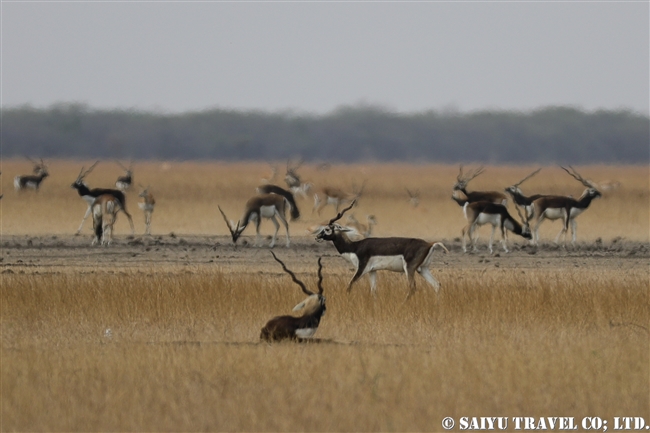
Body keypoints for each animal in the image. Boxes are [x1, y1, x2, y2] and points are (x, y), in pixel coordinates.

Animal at [312, 202, 446, 296]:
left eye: (327, 229)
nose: (317, 237)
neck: (354, 247)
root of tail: (429, 244)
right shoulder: (372, 271)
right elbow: (374, 291)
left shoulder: (361, 269)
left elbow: (349, 286)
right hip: (422, 269)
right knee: (437, 284)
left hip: (409, 268)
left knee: (413, 288)